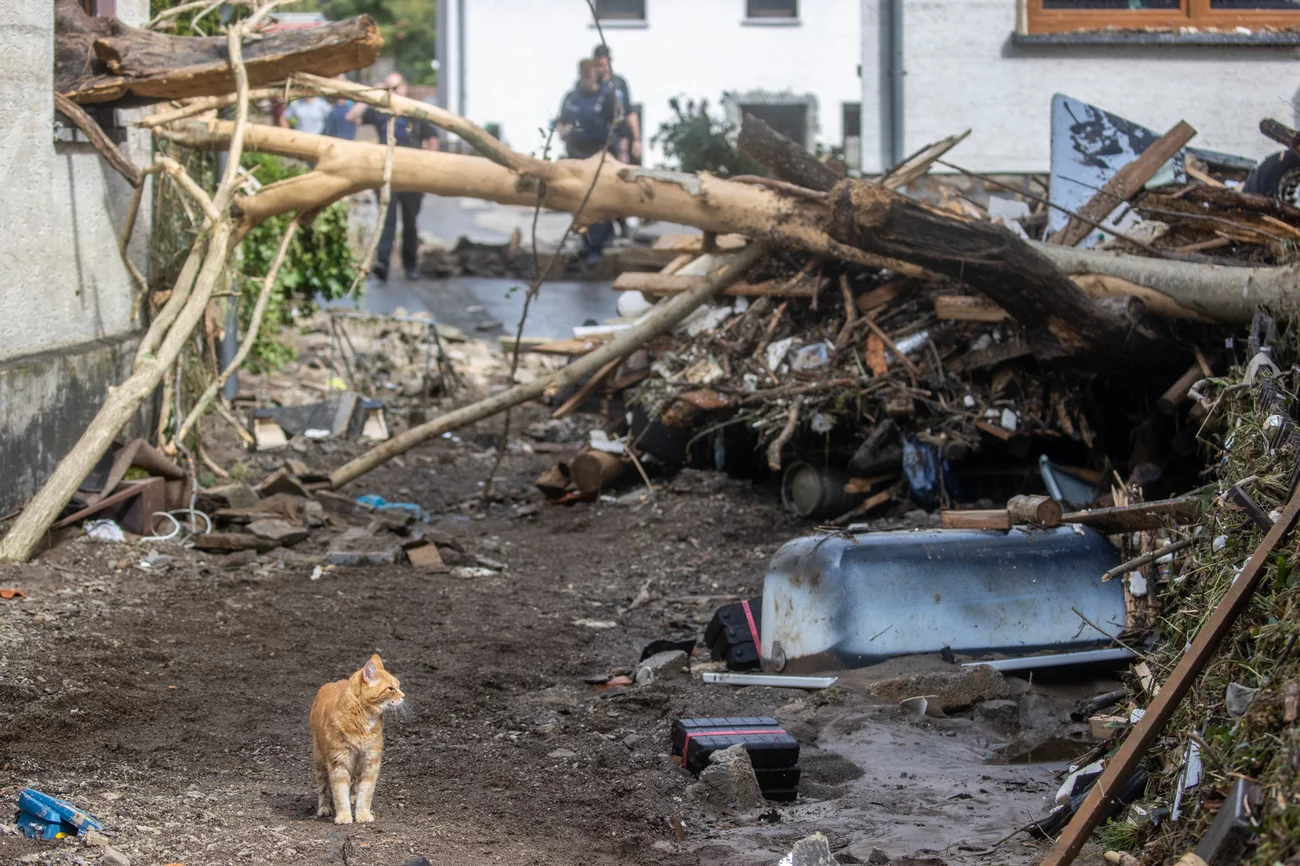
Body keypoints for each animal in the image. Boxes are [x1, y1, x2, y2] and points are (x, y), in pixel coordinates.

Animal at [308, 650, 403, 821]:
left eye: (398, 686)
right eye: (391, 688)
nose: (403, 695)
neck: (362, 721)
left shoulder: (370, 761)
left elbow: (366, 792)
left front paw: (363, 814)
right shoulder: (338, 761)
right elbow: (339, 793)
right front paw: (344, 816)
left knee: (354, 783)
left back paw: (353, 797)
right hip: (319, 759)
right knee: (323, 786)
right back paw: (324, 807)